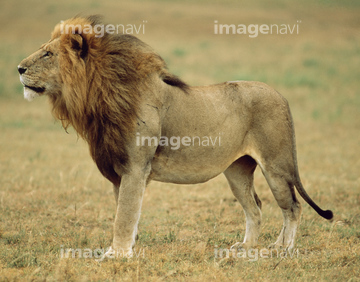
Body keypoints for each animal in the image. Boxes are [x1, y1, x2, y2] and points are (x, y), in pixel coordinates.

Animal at [16, 16, 332, 258]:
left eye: (47, 54)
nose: (18, 68)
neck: (100, 96)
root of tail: (281, 95)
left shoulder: (134, 168)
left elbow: (123, 216)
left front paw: (116, 255)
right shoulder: (121, 172)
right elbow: (126, 214)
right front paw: (128, 248)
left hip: (276, 166)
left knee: (292, 206)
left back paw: (282, 248)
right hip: (238, 171)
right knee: (256, 208)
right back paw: (247, 247)